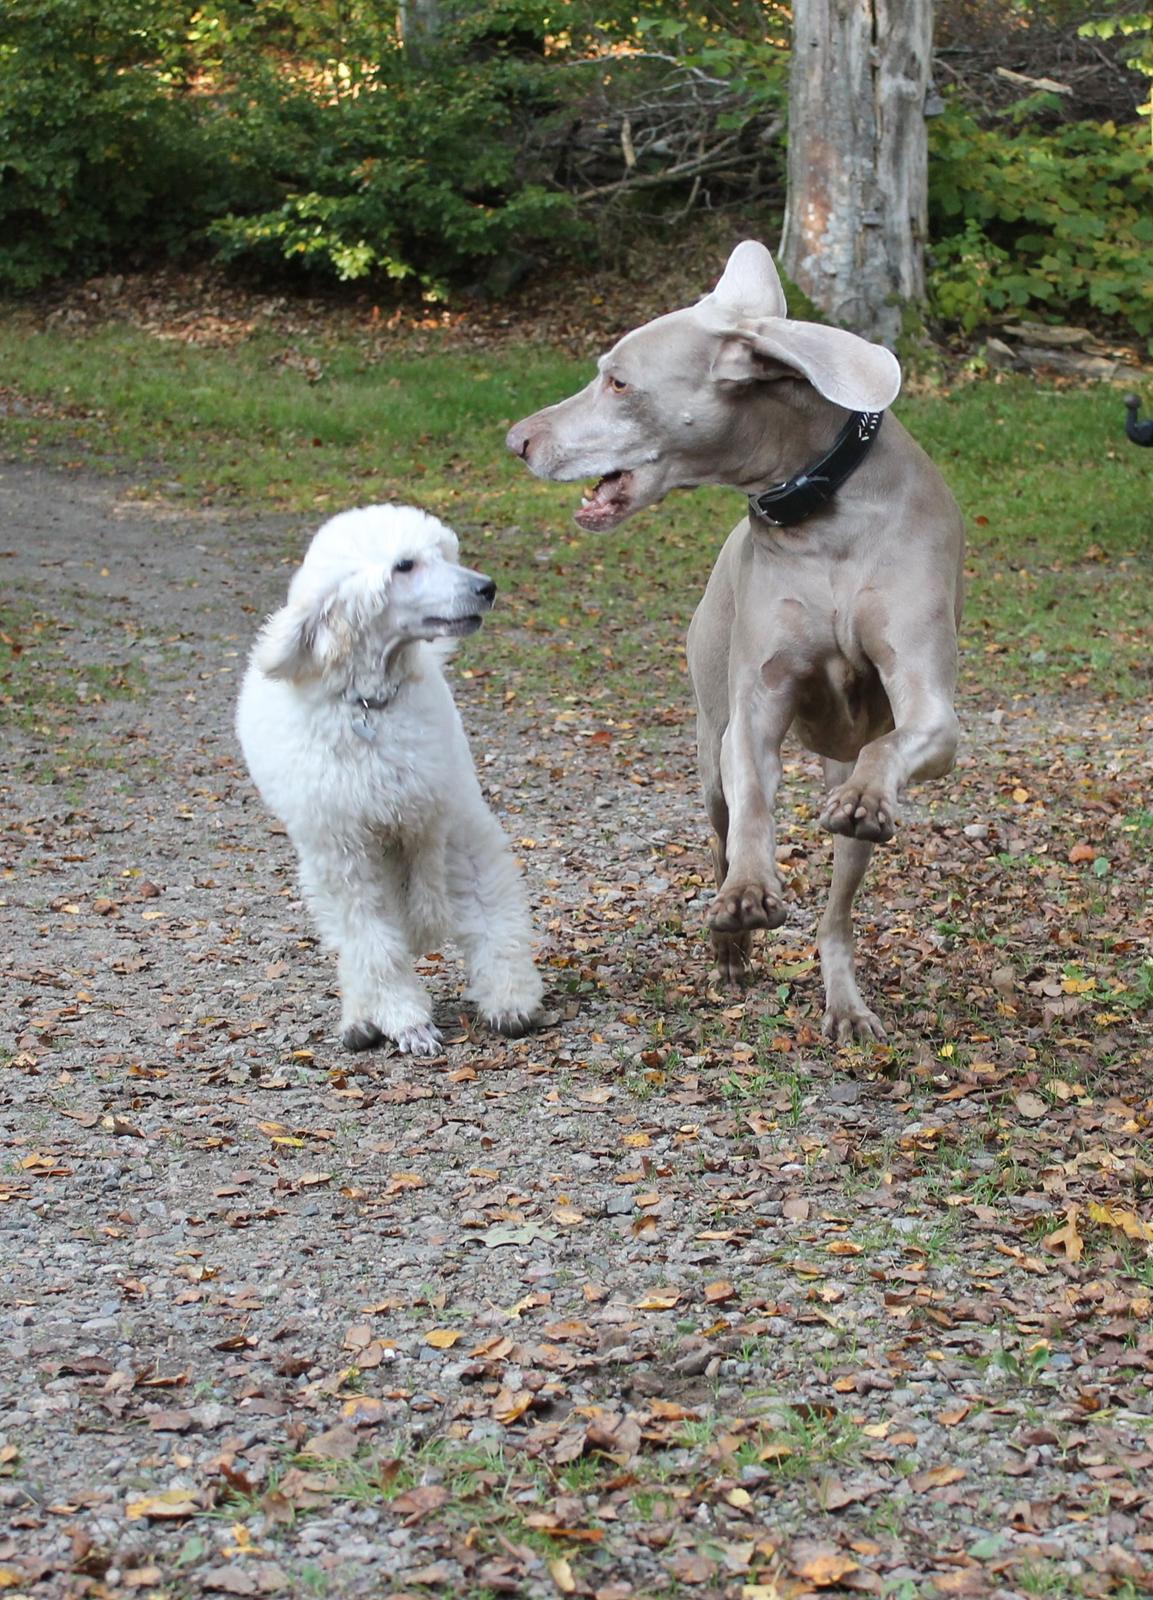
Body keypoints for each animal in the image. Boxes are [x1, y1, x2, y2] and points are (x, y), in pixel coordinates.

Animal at [508, 236, 965, 1036]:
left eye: (618, 382)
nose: (515, 441)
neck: (823, 518)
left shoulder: (930, 701)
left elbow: (897, 739)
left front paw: (870, 793)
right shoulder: (753, 709)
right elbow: (753, 800)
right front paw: (749, 895)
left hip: (844, 800)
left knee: (839, 901)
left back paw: (844, 996)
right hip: (706, 744)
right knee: (720, 833)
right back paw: (729, 938)